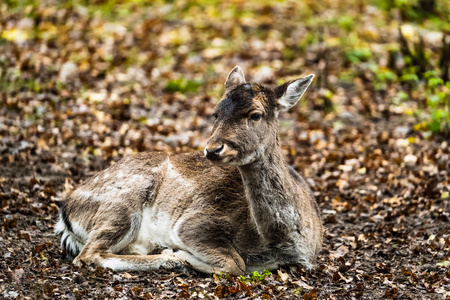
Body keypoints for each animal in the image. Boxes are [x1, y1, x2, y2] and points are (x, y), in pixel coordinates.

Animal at [55, 67, 324, 276]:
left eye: (255, 114)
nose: (213, 149)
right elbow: (235, 263)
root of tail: (66, 211)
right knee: (89, 254)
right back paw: (167, 259)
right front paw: (177, 253)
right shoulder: (193, 223)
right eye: (215, 113)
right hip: (122, 202)